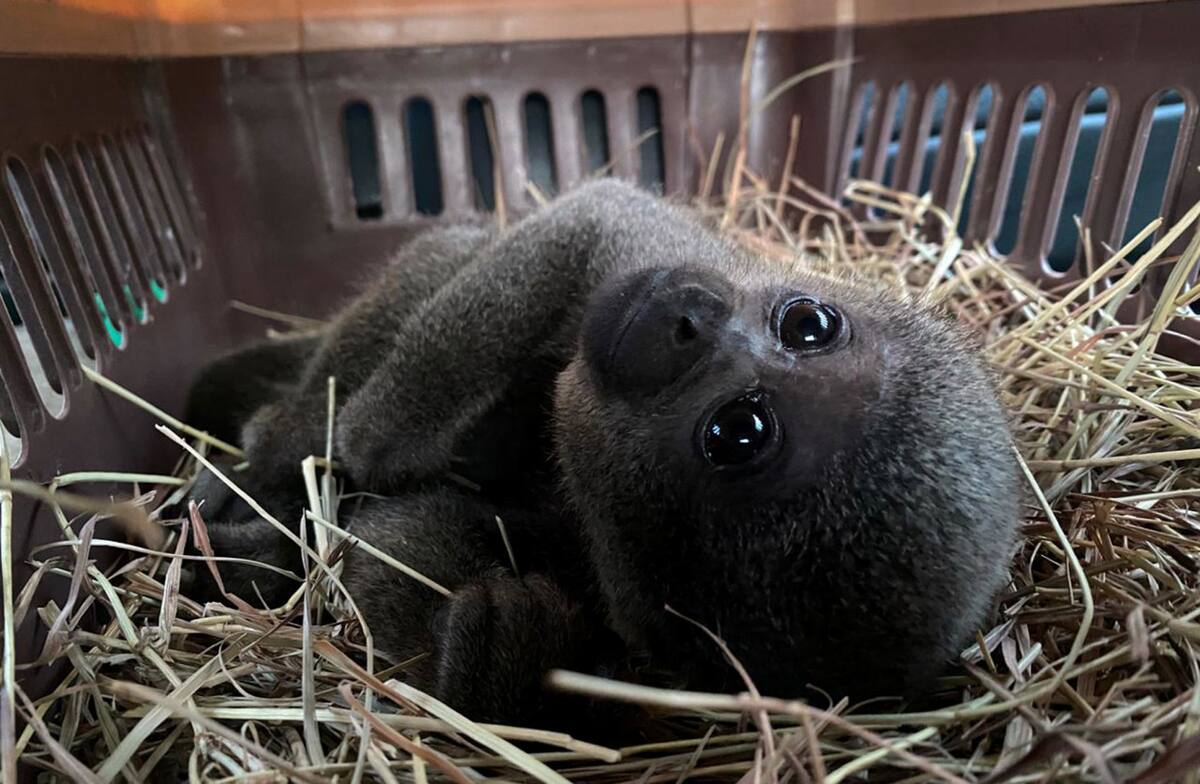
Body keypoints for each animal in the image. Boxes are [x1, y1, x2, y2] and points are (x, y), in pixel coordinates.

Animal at [182, 177, 1021, 729]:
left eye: (737, 432)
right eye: (809, 324)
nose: (690, 315)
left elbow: (398, 544)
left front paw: (507, 667)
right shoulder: (654, 254)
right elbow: (591, 218)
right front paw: (363, 430)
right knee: (447, 260)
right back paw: (281, 438)